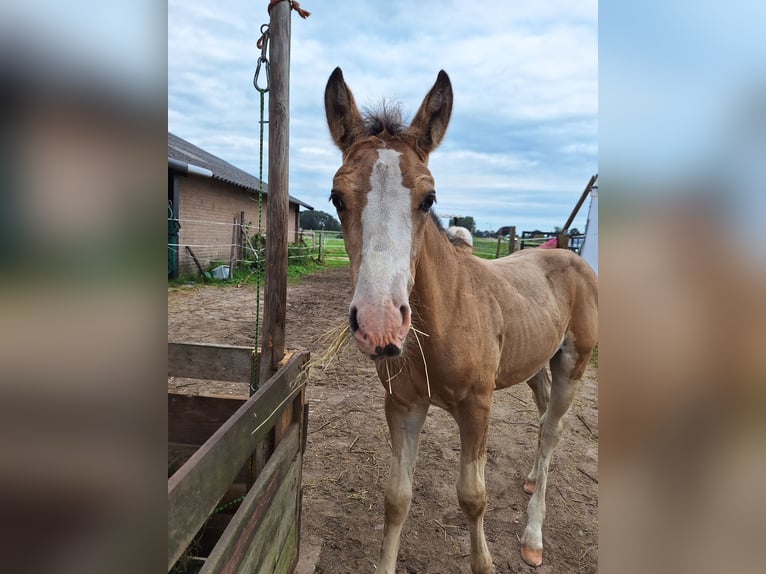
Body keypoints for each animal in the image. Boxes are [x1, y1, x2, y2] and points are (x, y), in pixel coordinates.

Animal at [324, 68, 600, 574]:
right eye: (336, 197)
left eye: (428, 197)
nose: (380, 324)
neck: (444, 322)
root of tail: (573, 259)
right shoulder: (402, 406)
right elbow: (396, 497)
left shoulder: (477, 406)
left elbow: (473, 496)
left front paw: (485, 562)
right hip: (537, 363)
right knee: (543, 415)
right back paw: (531, 479)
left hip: (574, 362)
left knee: (553, 429)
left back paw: (533, 536)